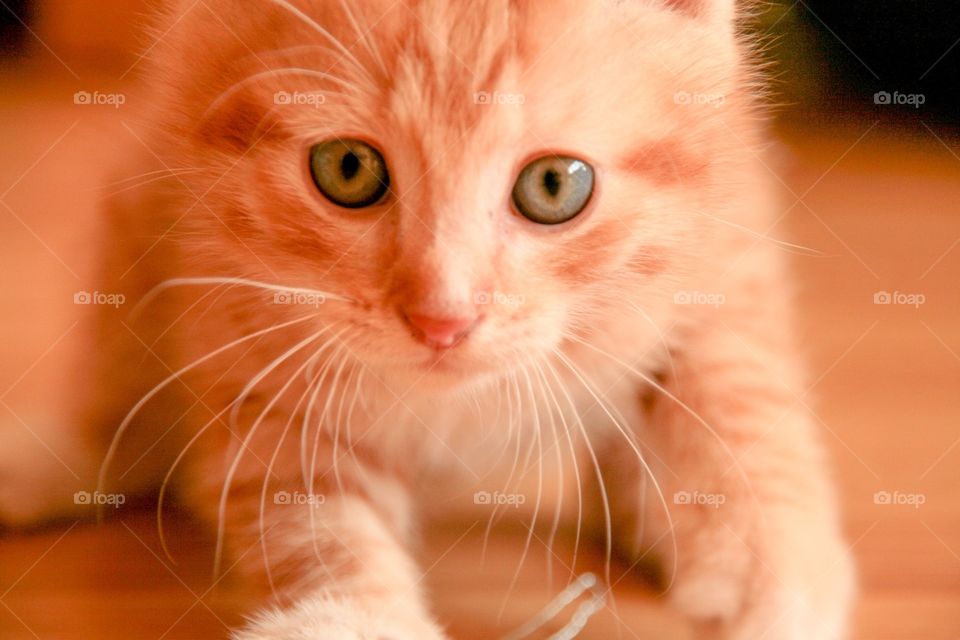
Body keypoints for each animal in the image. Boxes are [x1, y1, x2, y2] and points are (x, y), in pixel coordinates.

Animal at [0, 1, 856, 640]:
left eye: (555, 184)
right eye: (348, 169)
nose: (442, 320)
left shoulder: (730, 230)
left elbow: (733, 379)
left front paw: (771, 567)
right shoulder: (243, 318)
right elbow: (303, 503)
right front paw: (348, 618)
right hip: (140, 205)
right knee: (126, 414)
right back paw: (56, 462)